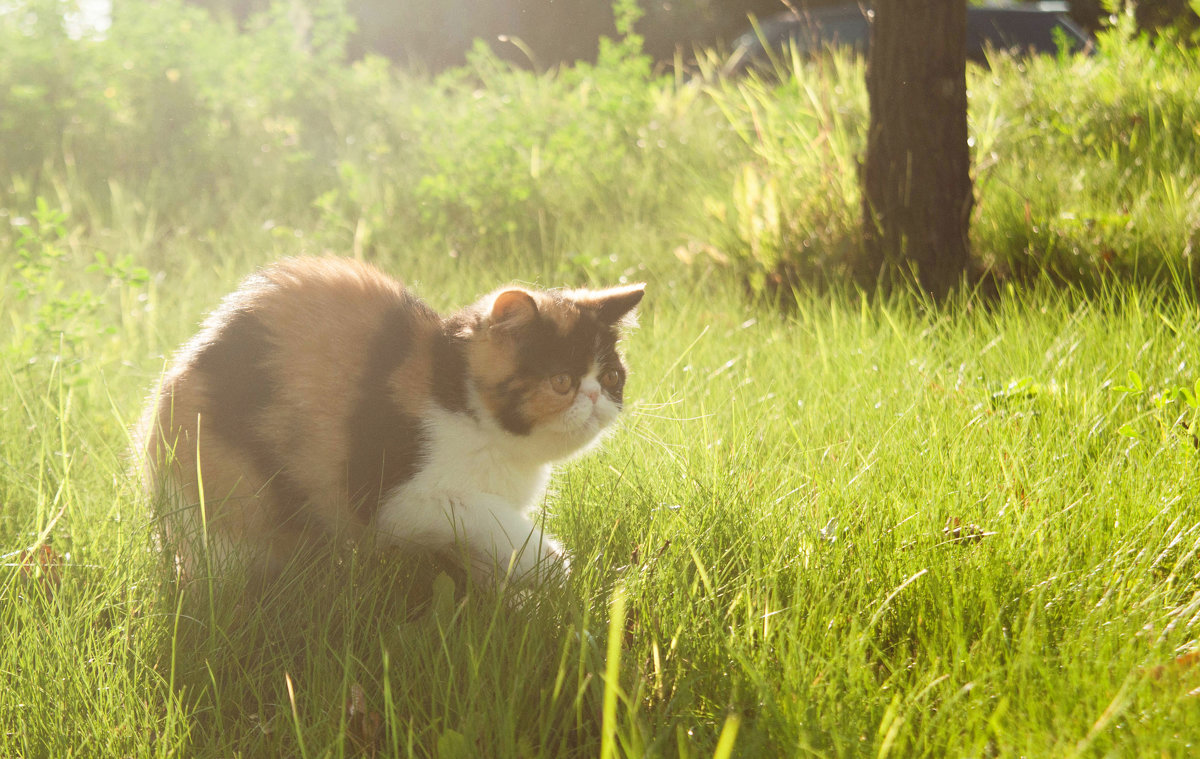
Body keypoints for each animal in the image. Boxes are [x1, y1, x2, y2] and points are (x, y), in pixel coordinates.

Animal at [138, 258, 648, 583]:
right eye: (562, 381)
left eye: (611, 376)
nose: (595, 396)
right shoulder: (403, 499)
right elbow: (490, 519)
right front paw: (549, 566)